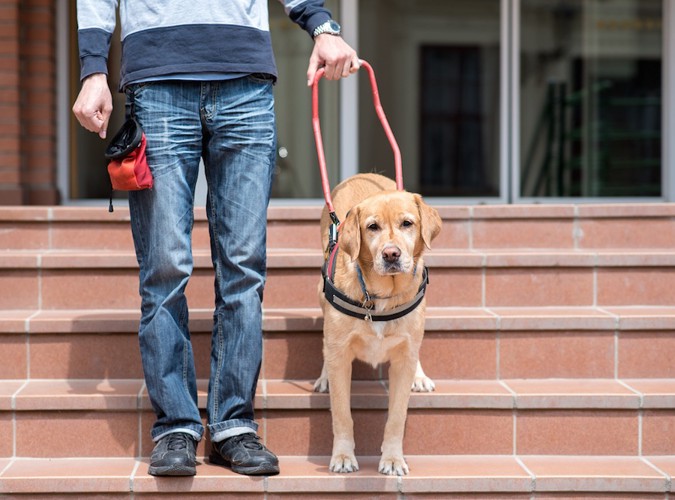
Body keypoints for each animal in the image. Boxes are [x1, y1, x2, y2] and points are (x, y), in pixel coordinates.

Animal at [312, 173, 440, 476]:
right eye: (372, 227)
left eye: (407, 223)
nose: (391, 254)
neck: (382, 295)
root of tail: (363, 174)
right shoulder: (340, 356)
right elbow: (342, 415)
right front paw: (343, 456)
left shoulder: (403, 360)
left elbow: (396, 417)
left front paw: (393, 458)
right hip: (321, 293)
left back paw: (420, 376)